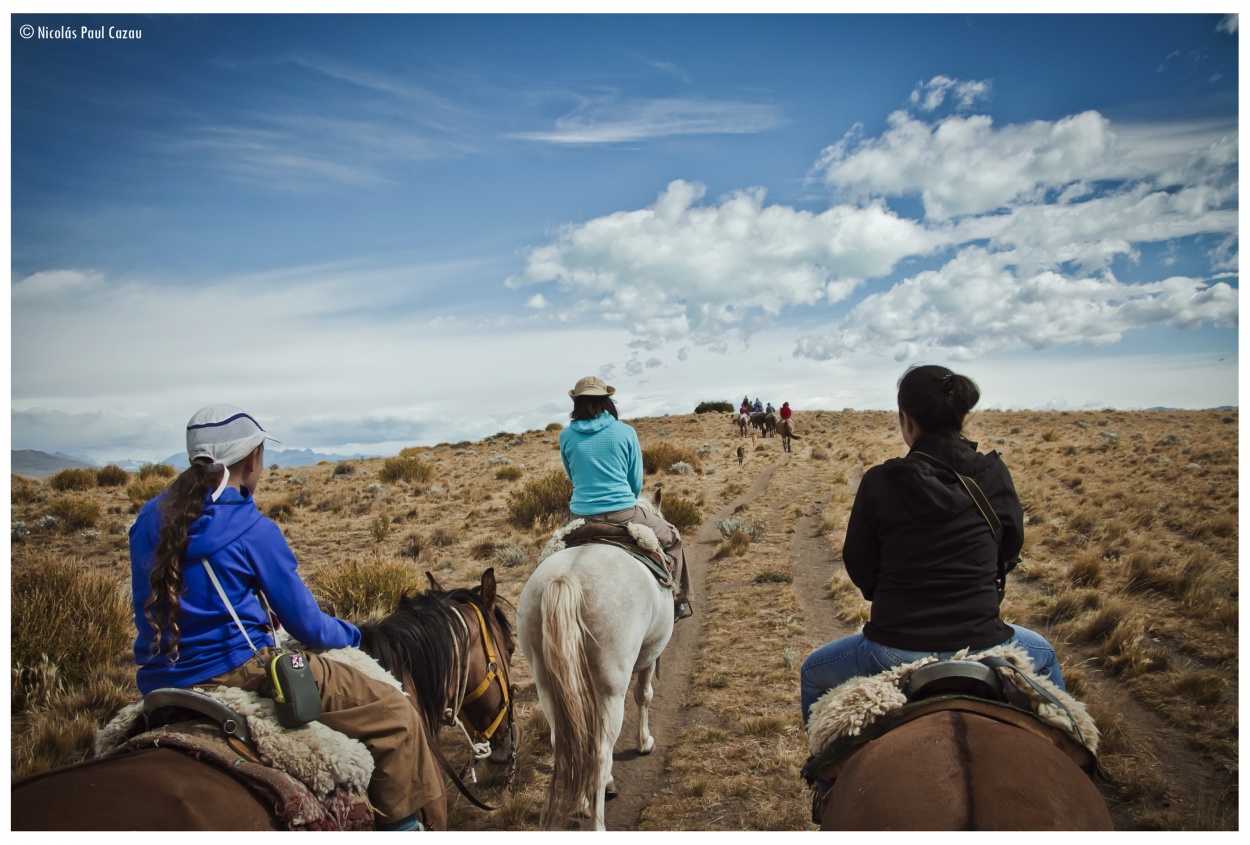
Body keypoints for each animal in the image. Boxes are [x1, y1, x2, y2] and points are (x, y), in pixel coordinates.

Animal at [515, 492, 680, 830]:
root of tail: (567, 578)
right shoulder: (650, 655)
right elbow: (644, 695)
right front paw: (645, 742)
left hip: (549, 687)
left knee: (567, 742)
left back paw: (580, 803)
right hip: (609, 690)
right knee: (600, 755)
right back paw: (597, 821)